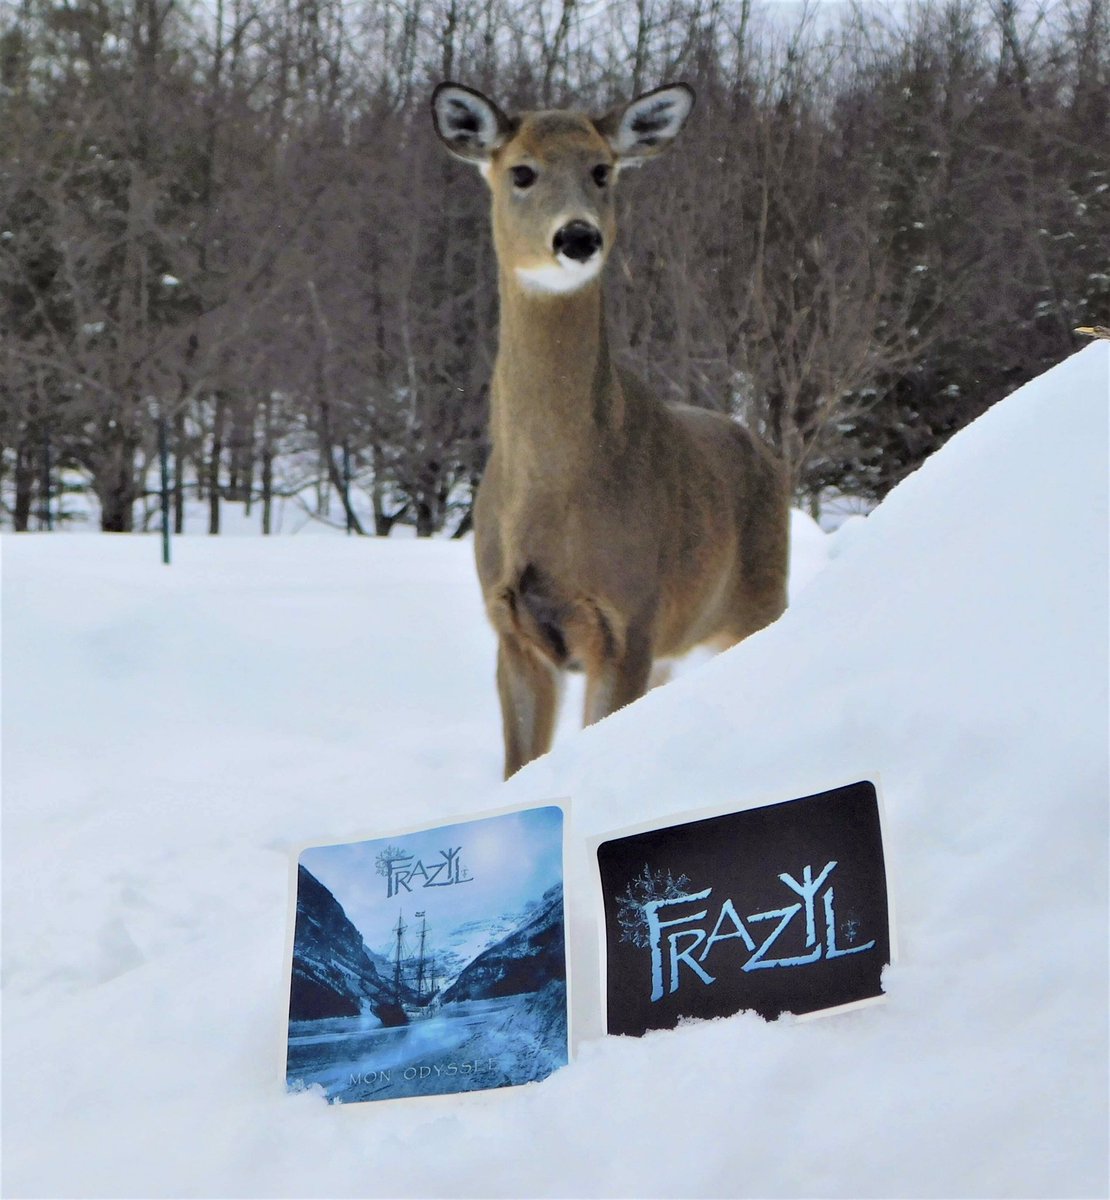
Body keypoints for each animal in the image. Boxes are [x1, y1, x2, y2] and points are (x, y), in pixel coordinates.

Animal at [431, 81, 791, 779]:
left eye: (603, 170)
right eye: (521, 171)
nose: (577, 236)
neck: (553, 490)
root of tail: (764, 449)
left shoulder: (629, 620)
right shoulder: (512, 628)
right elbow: (519, 766)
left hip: (760, 602)